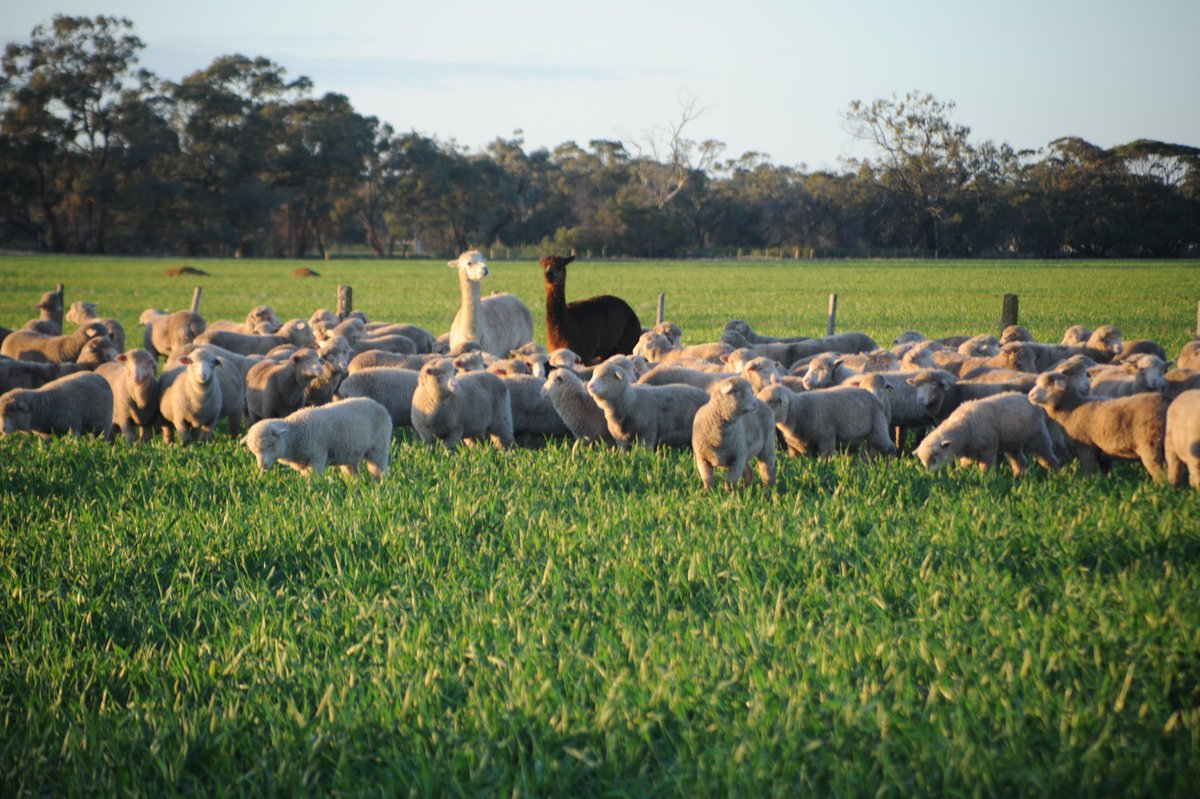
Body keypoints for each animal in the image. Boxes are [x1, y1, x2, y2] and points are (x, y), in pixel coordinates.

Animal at [240, 397, 392, 479]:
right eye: (253, 451)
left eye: (270, 445)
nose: (262, 466)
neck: (295, 434)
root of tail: (380, 405)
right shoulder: (304, 464)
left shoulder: (317, 457)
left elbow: (315, 479)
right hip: (350, 451)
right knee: (351, 470)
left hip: (379, 446)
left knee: (378, 468)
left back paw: (379, 483)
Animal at [757, 382, 894, 458]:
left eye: (771, 402)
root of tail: (875, 397)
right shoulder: (795, 449)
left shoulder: (826, 439)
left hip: (878, 428)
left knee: (890, 447)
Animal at [915, 393, 1058, 477]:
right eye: (923, 462)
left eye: (934, 457)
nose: (931, 474)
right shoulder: (968, 453)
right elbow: (966, 465)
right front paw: (963, 473)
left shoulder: (987, 448)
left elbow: (985, 466)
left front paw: (984, 477)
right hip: (1012, 441)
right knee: (1019, 460)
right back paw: (1018, 475)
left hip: (1038, 435)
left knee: (1046, 455)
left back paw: (1054, 471)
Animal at [1028, 371, 1167, 480]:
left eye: (1048, 385)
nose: (1030, 395)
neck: (1072, 409)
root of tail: (1164, 403)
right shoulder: (1103, 452)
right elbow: (1106, 471)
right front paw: (1107, 482)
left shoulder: (1086, 447)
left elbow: (1090, 469)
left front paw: (1089, 483)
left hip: (1151, 445)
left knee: (1159, 472)